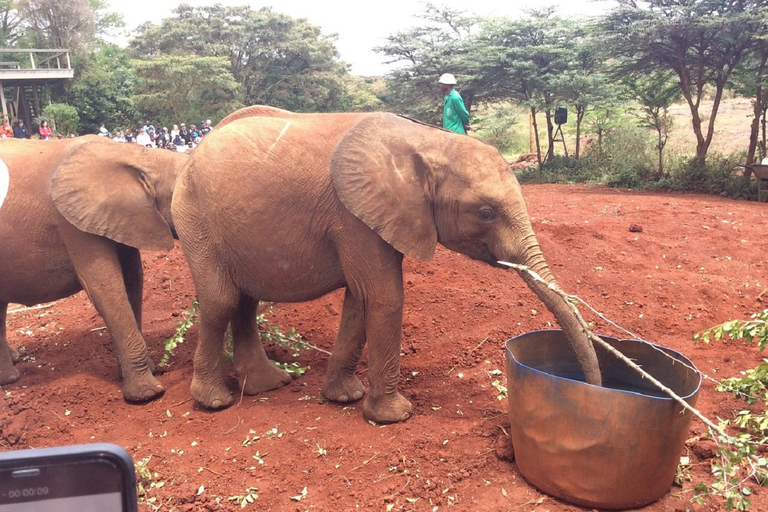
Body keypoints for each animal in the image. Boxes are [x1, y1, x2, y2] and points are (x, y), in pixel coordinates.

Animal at [0, 138, 186, 402]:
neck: (138, 154)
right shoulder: (72, 224)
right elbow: (105, 287)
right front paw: (148, 394)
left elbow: (132, 279)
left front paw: (147, 370)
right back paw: (9, 379)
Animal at [172, 105, 600, 424]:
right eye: (486, 212)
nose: (592, 390)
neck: (427, 142)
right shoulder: (353, 215)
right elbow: (384, 296)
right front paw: (395, 416)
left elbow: (360, 299)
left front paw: (345, 398)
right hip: (195, 219)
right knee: (222, 300)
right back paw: (215, 402)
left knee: (245, 303)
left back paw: (269, 385)